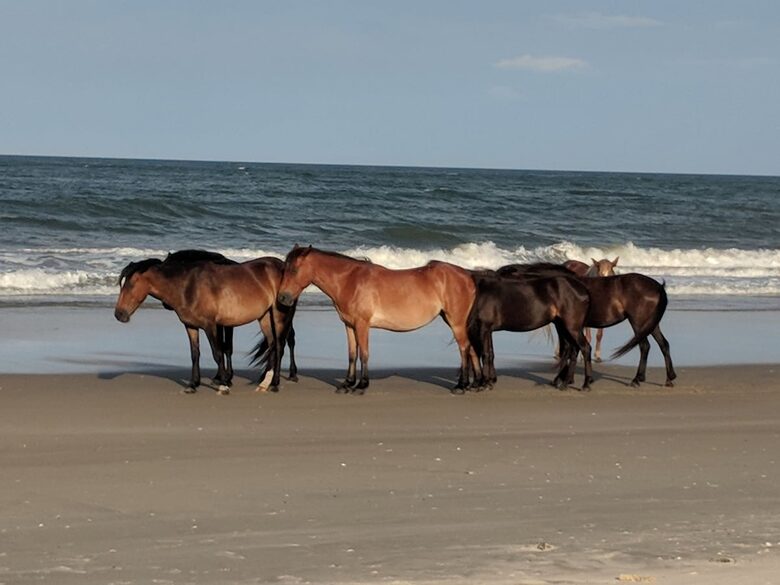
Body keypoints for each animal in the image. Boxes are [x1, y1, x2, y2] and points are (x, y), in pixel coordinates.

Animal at [115, 253, 298, 394]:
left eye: (131, 284)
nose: (119, 314)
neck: (188, 287)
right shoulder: (191, 326)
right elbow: (195, 354)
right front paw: (193, 385)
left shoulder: (211, 326)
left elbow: (218, 353)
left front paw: (223, 385)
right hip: (264, 317)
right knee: (272, 345)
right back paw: (264, 382)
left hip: (278, 316)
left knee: (279, 346)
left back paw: (275, 384)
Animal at [276, 245, 479, 394]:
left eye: (294, 270)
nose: (283, 298)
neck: (350, 282)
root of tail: (467, 276)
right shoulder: (349, 325)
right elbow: (352, 354)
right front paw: (347, 383)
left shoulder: (362, 324)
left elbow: (364, 354)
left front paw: (361, 385)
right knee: (471, 349)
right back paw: (477, 384)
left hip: (456, 322)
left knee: (464, 349)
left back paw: (461, 386)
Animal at [498, 263, 676, 388]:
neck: (554, 286)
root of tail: (658, 287)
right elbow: (572, 349)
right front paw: (568, 379)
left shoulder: (563, 326)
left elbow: (568, 349)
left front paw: (562, 379)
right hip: (651, 324)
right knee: (663, 345)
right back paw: (668, 378)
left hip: (638, 322)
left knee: (644, 346)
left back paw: (637, 379)